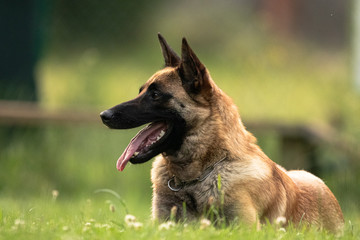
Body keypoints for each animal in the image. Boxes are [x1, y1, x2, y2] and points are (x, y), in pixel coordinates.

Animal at [100, 33, 344, 232]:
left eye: (155, 94)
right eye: (141, 91)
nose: (104, 115)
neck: (195, 178)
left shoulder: (243, 228)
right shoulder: (163, 225)